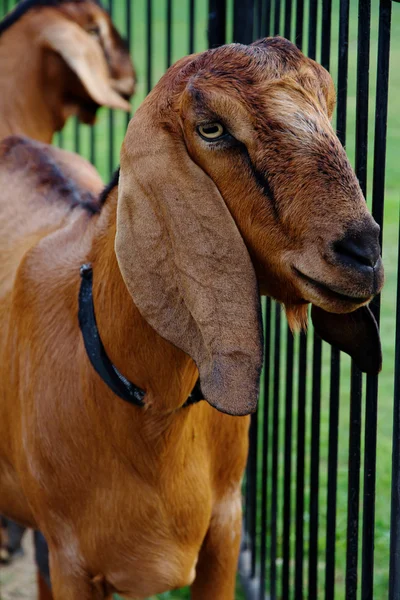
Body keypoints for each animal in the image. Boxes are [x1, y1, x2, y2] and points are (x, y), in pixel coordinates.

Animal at [0, 37, 382, 600]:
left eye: (328, 105)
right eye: (212, 129)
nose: (365, 253)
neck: (154, 411)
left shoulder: (225, 529)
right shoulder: (72, 557)